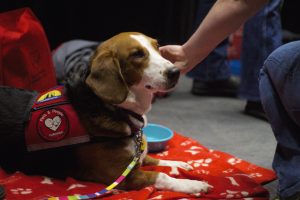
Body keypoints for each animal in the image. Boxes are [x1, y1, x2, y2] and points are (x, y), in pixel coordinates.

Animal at [0, 32, 212, 195]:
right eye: (137, 54)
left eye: (157, 46)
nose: (175, 71)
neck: (116, 109)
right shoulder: (124, 177)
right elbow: (162, 175)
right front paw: (192, 184)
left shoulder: (137, 160)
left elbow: (155, 159)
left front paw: (179, 164)